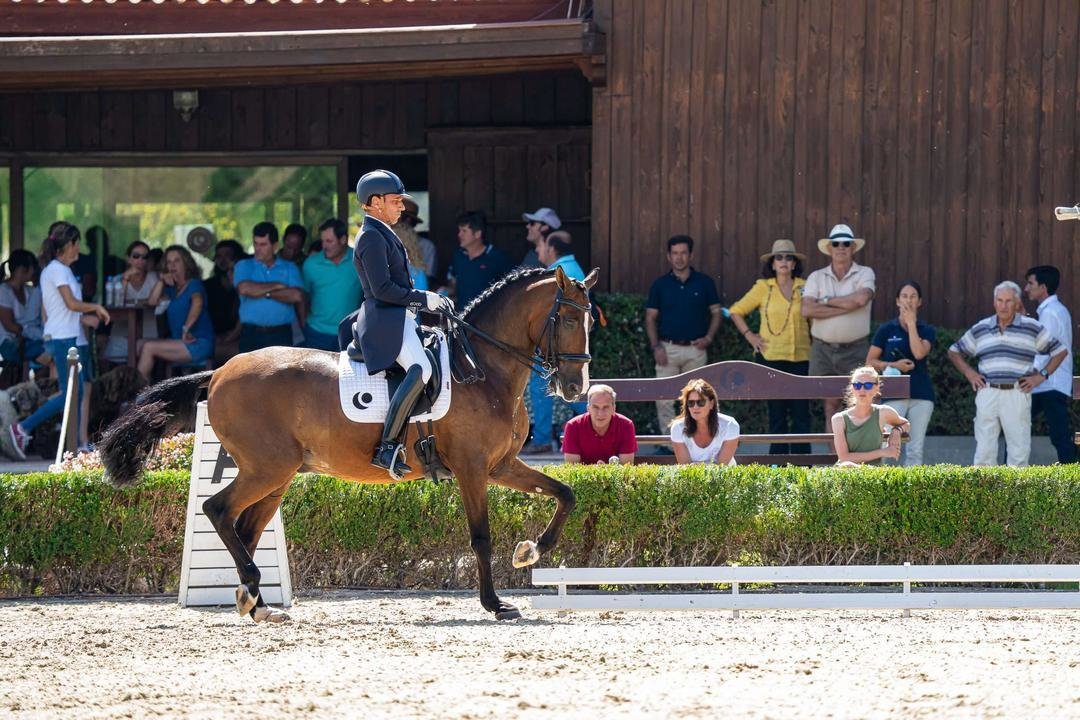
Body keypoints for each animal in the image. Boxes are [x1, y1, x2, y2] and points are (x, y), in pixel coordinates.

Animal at [101, 267, 600, 621]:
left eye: (590, 320)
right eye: (566, 318)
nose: (575, 387)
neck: (482, 370)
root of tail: (221, 370)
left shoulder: (501, 465)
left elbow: (566, 493)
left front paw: (531, 551)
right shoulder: (472, 469)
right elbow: (480, 536)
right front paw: (496, 603)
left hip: (278, 474)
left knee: (246, 526)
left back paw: (256, 601)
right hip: (267, 468)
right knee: (219, 510)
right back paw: (251, 590)